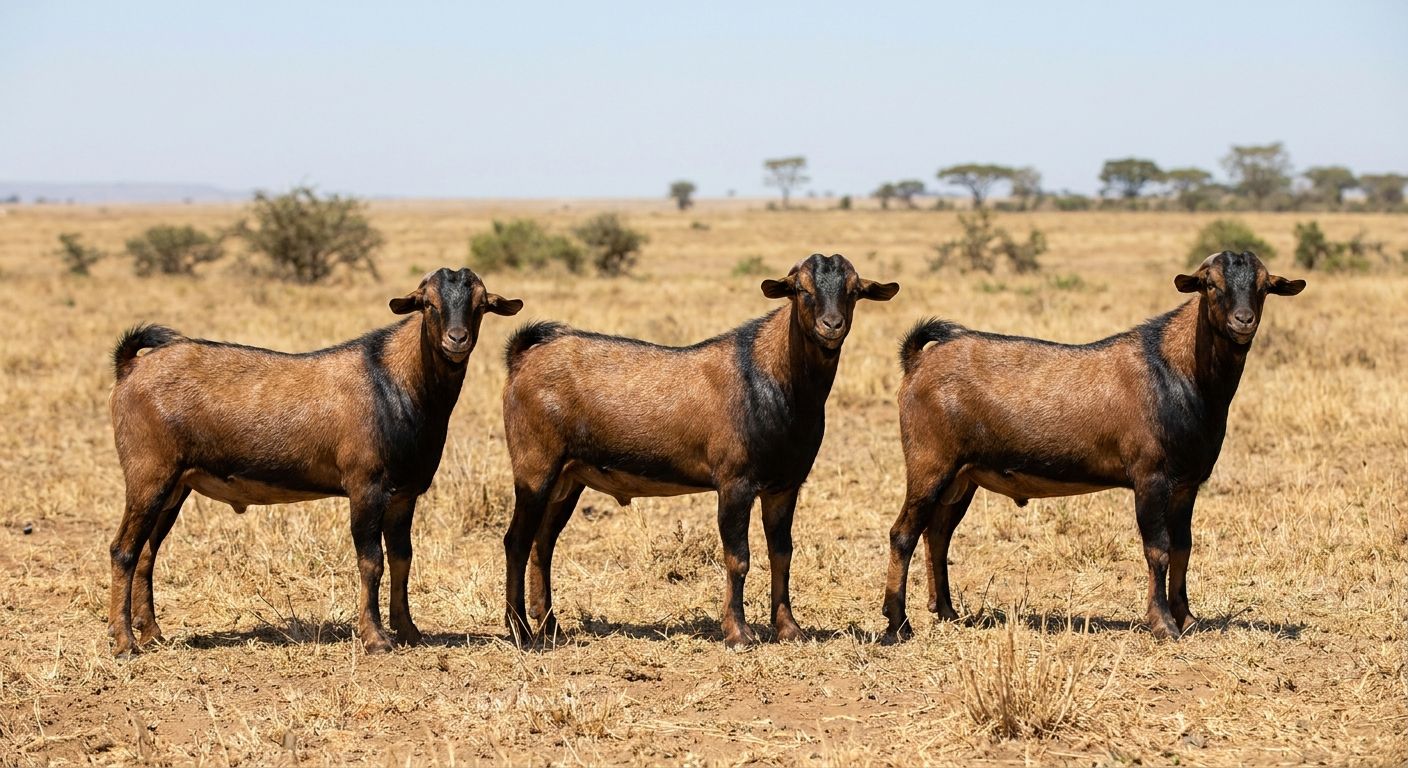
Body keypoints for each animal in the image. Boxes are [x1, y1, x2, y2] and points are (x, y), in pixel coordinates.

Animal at [106, 267, 522, 656]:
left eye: (481, 304)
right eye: (429, 303)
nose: (457, 339)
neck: (394, 381)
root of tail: (130, 369)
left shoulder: (405, 494)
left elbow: (402, 558)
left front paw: (409, 632)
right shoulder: (366, 486)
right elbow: (371, 561)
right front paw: (375, 638)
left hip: (176, 485)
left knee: (146, 552)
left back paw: (153, 634)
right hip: (149, 474)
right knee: (123, 550)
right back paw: (125, 643)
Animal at [501, 253, 898, 647]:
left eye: (853, 290)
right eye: (801, 289)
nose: (831, 325)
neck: (769, 378)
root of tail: (523, 359)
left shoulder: (785, 485)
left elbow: (782, 553)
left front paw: (790, 629)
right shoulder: (735, 483)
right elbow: (738, 558)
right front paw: (738, 633)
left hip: (568, 478)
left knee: (543, 542)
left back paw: (550, 626)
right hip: (535, 468)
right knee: (517, 541)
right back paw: (520, 630)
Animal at [882, 251, 1304, 640]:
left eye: (1264, 286)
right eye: (1211, 284)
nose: (1243, 321)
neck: (1176, 370)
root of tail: (918, 362)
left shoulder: (1187, 484)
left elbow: (1184, 547)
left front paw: (1188, 619)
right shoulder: (1151, 477)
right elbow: (1158, 549)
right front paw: (1163, 624)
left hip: (962, 476)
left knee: (938, 533)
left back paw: (948, 612)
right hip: (930, 463)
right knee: (903, 533)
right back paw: (898, 624)